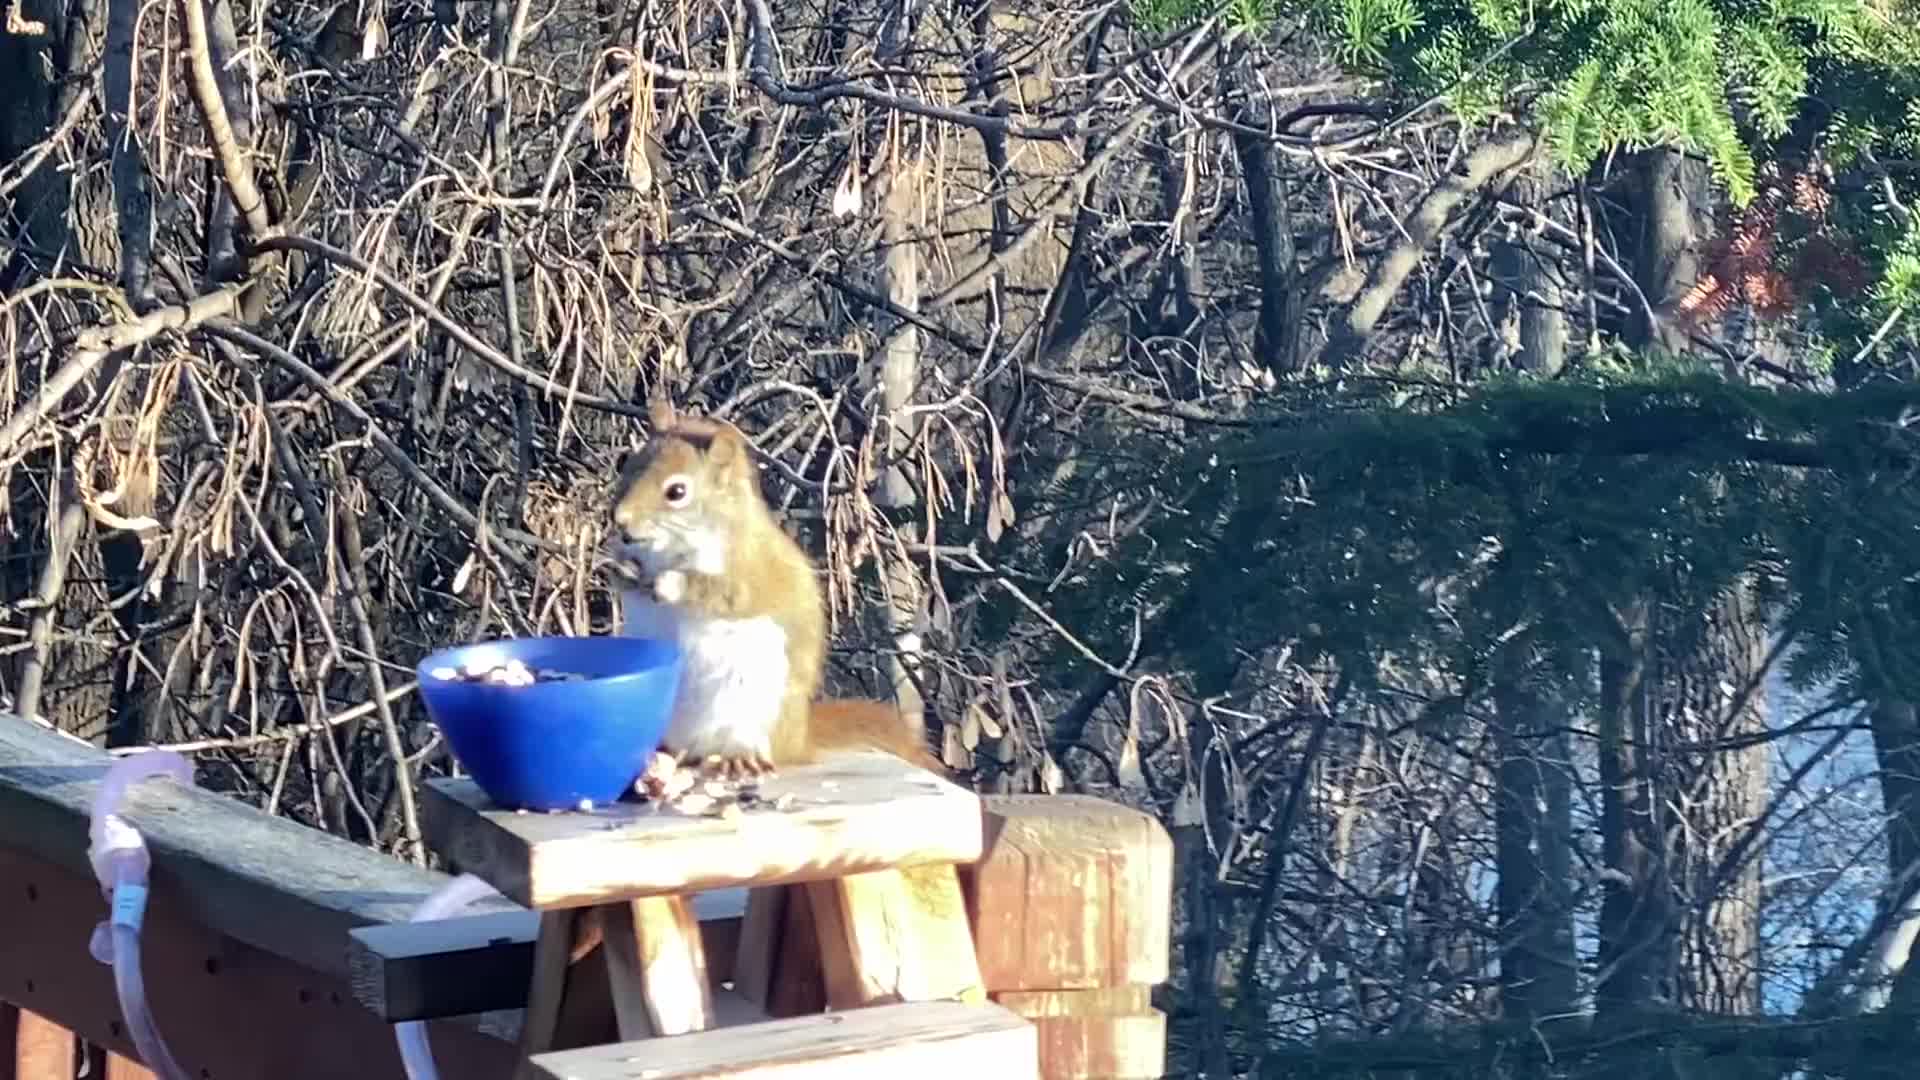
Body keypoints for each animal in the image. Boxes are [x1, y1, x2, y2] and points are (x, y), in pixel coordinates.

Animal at [599, 401, 929, 772]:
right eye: (631, 465)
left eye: (677, 492)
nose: (619, 519)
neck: (667, 546)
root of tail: (799, 741)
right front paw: (619, 568)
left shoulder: (748, 571)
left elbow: (725, 594)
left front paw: (671, 582)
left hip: (753, 706)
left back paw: (737, 758)